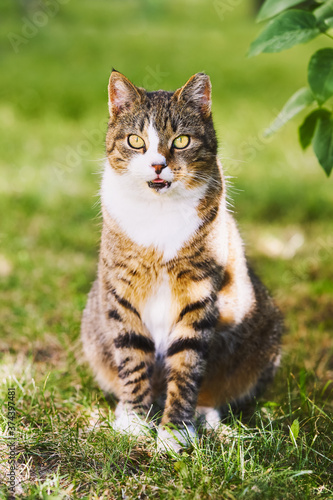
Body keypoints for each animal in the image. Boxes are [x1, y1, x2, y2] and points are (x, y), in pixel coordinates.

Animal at [80, 71, 280, 454]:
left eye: (182, 140)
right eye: (136, 141)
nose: (158, 164)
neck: (159, 212)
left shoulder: (198, 293)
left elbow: (186, 366)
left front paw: (175, 431)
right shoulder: (123, 290)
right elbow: (132, 357)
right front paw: (134, 421)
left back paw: (207, 417)